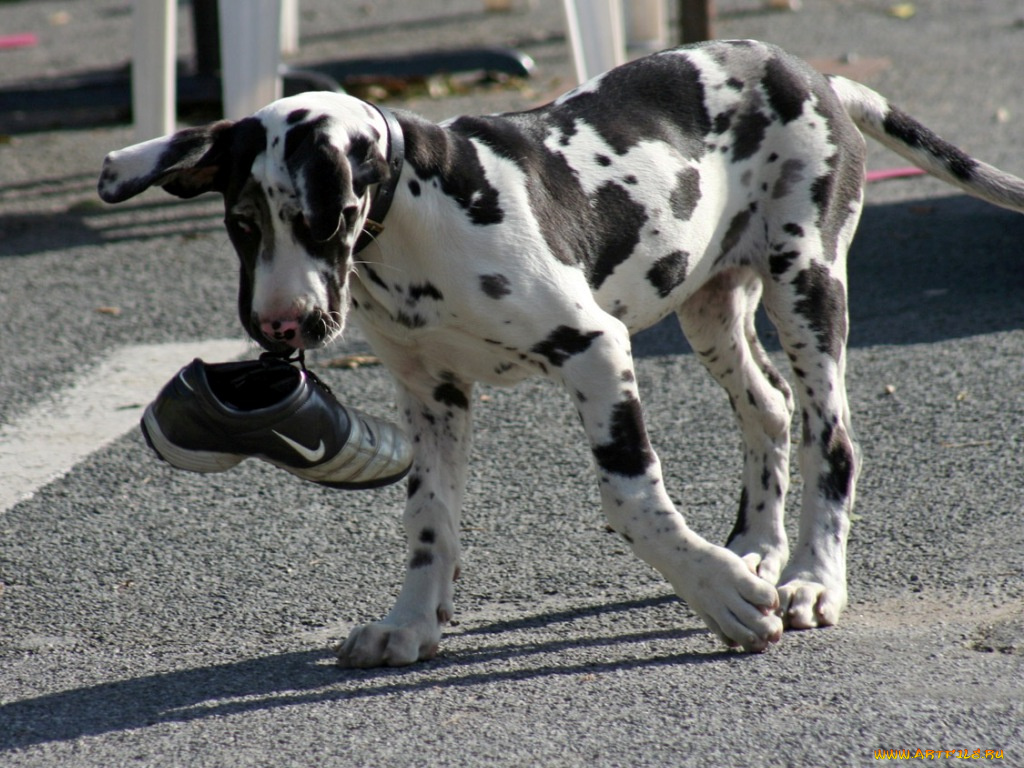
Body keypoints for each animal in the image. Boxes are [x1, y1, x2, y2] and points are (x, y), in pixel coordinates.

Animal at [97, 40, 1024, 667]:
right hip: (709, 305)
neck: (417, 221)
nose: (281, 329)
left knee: (831, 437)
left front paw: (720, 597)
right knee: (767, 407)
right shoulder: (431, 394)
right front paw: (410, 624)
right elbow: (427, 519)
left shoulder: (594, 350)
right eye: (241, 224)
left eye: (322, 219)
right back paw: (757, 544)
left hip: (806, 283)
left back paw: (810, 577)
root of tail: (811, 72)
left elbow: (631, 499)